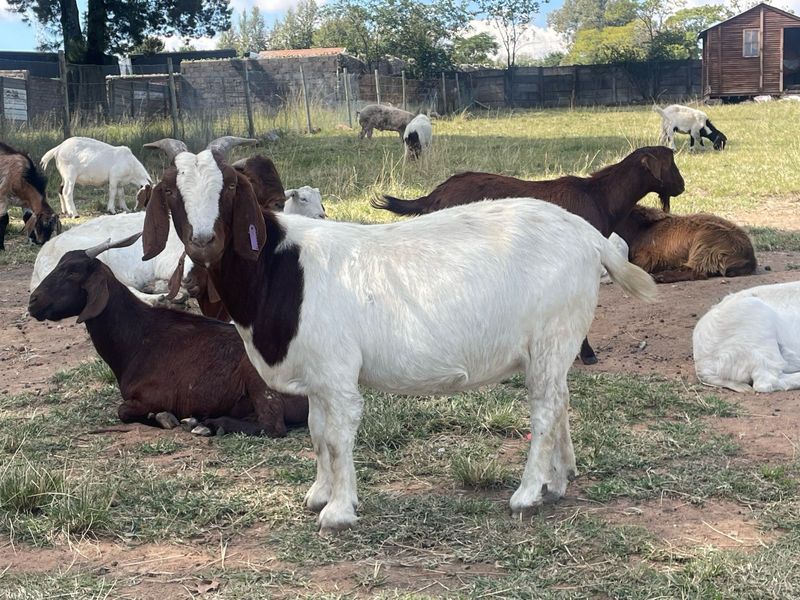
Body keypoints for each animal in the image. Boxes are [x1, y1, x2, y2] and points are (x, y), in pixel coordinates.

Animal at [28, 233, 310, 436]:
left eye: (72, 272)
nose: (33, 302)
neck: (138, 338)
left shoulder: (153, 396)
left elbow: (123, 410)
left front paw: (163, 418)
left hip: (261, 381)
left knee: (273, 426)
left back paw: (209, 424)